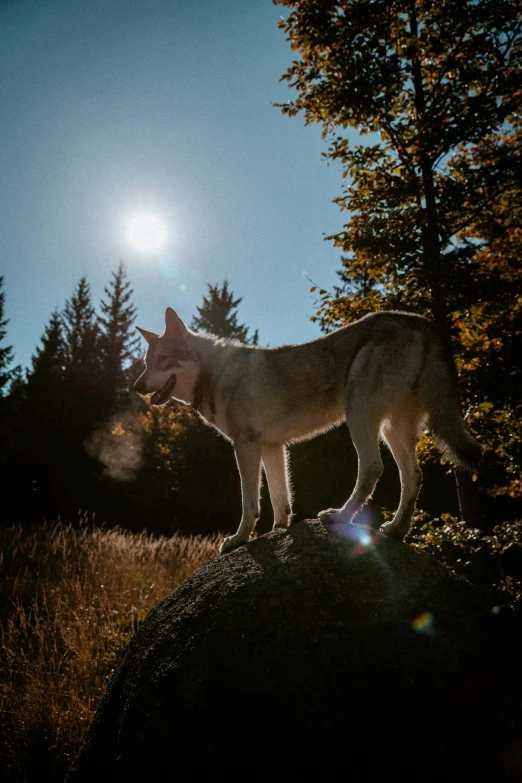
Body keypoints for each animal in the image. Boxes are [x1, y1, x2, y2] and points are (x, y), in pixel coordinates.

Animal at [134, 310, 480, 556]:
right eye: (146, 363)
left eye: (162, 360)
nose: (136, 386)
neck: (216, 374)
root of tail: (418, 320)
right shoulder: (272, 446)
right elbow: (281, 499)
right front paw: (277, 531)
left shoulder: (245, 445)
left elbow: (249, 502)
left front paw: (239, 539)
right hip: (393, 429)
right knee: (413, 476)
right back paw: (396, 530)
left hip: (360, 415)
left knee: (373, 468)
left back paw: (340, 516)